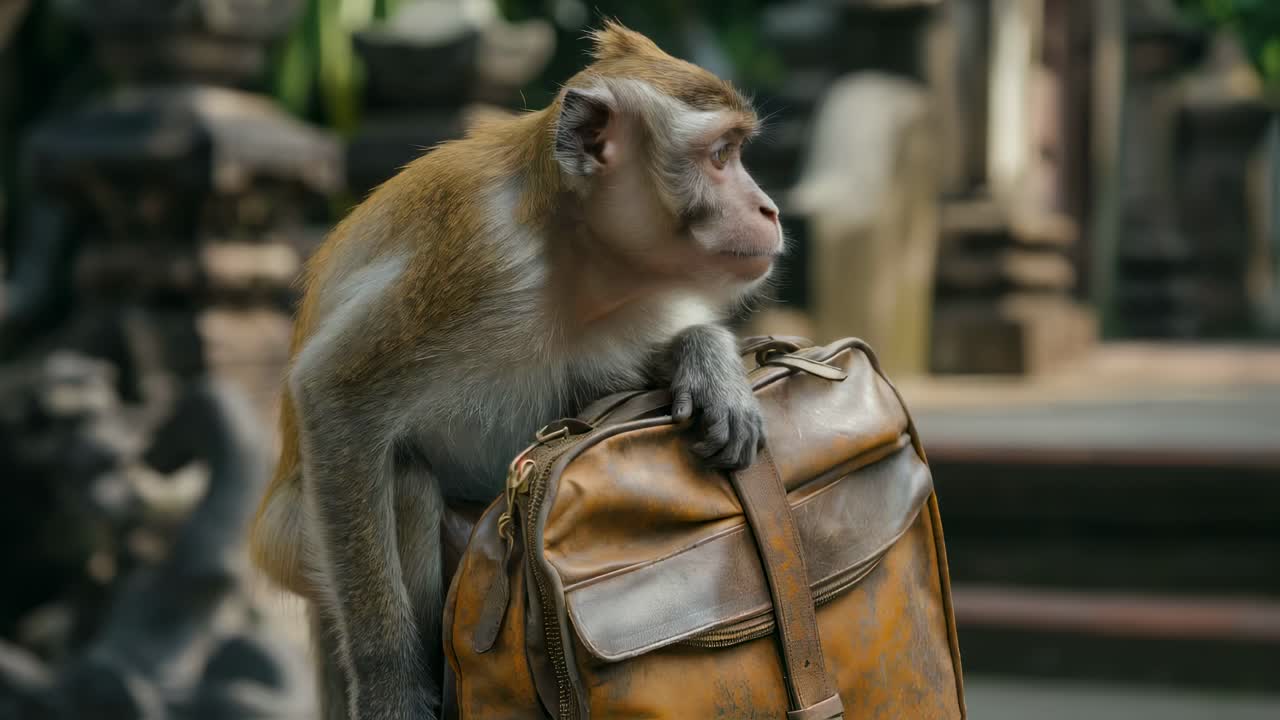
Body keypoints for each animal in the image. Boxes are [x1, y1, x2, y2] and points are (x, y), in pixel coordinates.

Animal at [249, 21, 784, 720]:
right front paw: (390, 684)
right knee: (404, 484)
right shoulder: (484, 261)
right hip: (293, 544)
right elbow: (334, 395)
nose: (771, 210)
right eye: (721, 155)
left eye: (739, 150)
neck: (573, 250)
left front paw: (709, 362)